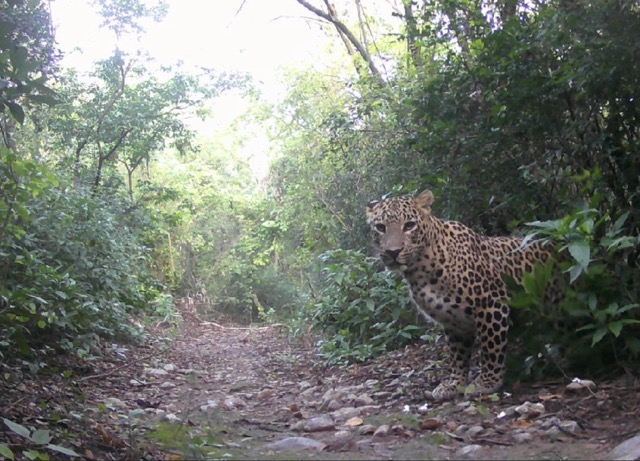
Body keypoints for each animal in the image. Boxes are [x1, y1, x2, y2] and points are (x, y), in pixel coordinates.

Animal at [366, 189, 557, 400]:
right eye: (380, 227)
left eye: (409, 225)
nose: (393, 252)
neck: (419, 270)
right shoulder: (453, 320)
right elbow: (457, 355)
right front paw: (454, 384)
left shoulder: (491, 303)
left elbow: (491, 347)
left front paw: (487, 383)